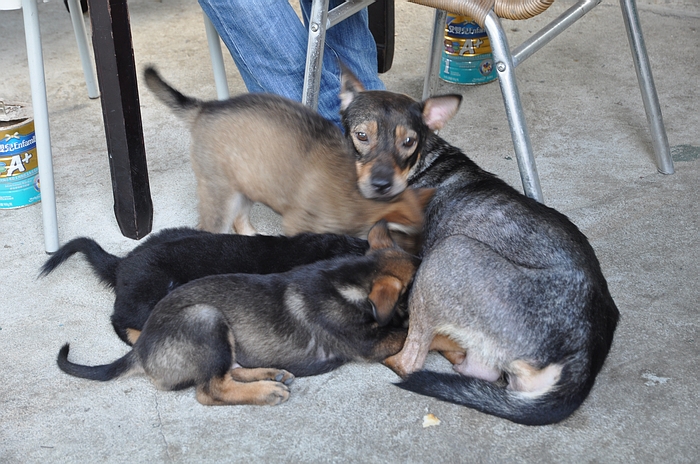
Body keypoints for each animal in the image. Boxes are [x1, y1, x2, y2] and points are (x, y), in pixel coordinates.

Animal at [142, 67, 432, 243]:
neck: (357, 201)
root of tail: (204, 108)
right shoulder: (298, 225)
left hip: (247, 185)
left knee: (240, 220)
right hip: (219, 193)